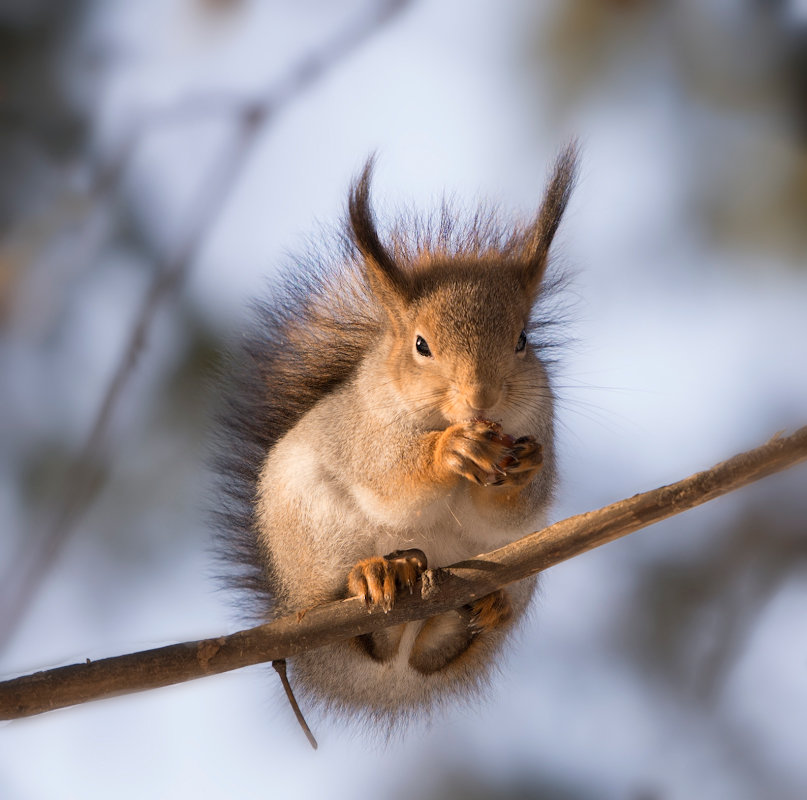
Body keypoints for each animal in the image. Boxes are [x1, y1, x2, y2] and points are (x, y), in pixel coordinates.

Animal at [215, 144, 580, 732]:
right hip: (313, 541)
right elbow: (390, 476)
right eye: (421, 345)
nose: (481, 399)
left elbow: (514, 509)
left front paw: (523, 469)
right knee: (347, 611)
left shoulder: (538, 422)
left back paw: (476, 609)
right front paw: (448, 450)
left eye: (523, 340)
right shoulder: (365, 432)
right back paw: (377, 576)